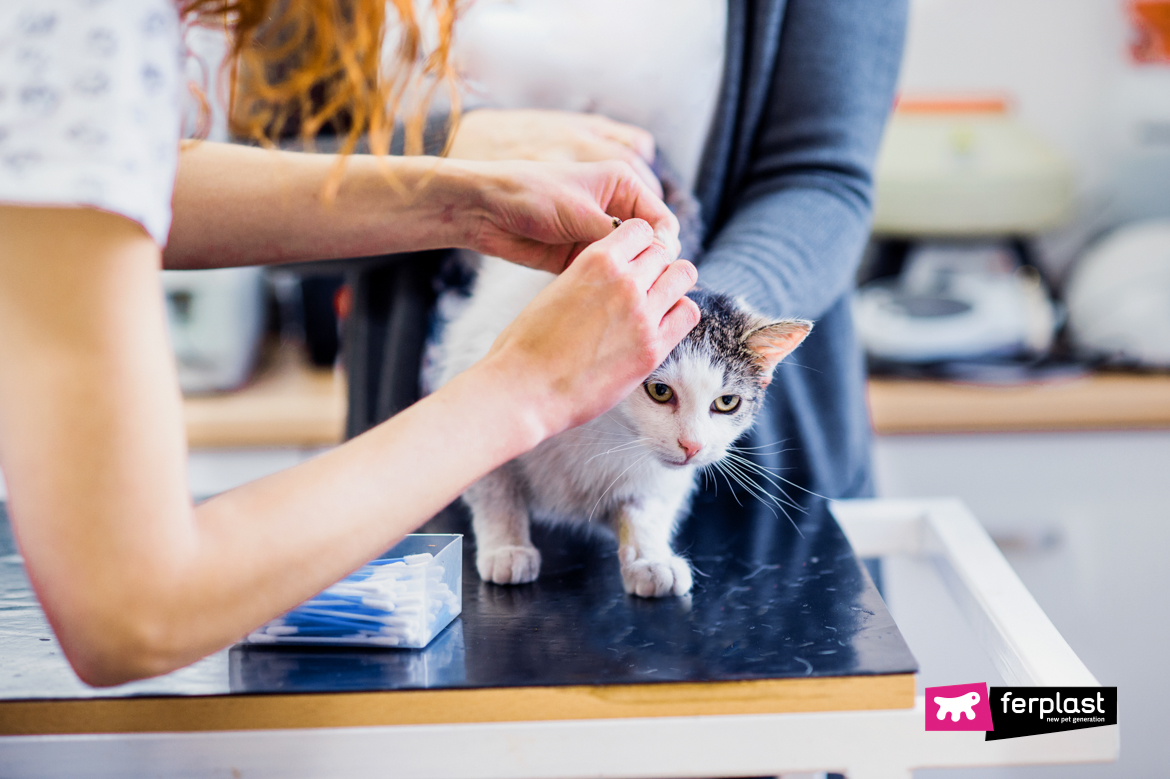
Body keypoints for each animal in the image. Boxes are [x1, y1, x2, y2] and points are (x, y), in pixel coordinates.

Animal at [435, 257, 809, 596]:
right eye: (660, 391)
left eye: (727, 402)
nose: (692, 446)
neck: (608, 431)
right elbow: (496, 492)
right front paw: (507, 547)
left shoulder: (655, 480)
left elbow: (644, 510)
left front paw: (650, 559)